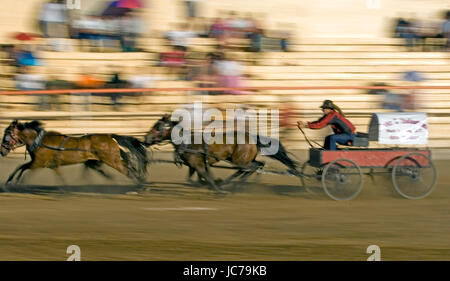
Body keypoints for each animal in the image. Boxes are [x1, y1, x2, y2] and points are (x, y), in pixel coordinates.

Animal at [0, 119, 149, 185]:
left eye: (7, 134)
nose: (2, 151)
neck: (39, 140)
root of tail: (109, 136)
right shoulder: (41, 163)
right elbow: (21, 167)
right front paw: (10, 181)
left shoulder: (39, 163)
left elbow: (24, 169)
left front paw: (16, 183)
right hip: (107, 160)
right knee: (128, 167)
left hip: (112, 161)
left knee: (127, 171)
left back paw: (140, 185)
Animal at [144, 114, 298, 190]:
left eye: (157, 127)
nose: (145, 139)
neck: (186, 142)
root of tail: (253, 137)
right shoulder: (194, 166)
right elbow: (193, 179)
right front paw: (206, 184)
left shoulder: (198, 165)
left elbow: (204, 177)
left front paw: (214, 186)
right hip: (242, 159)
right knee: (255, 165)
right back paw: (234, 183)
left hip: (239, 160)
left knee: (251, 167)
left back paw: (234, 184)